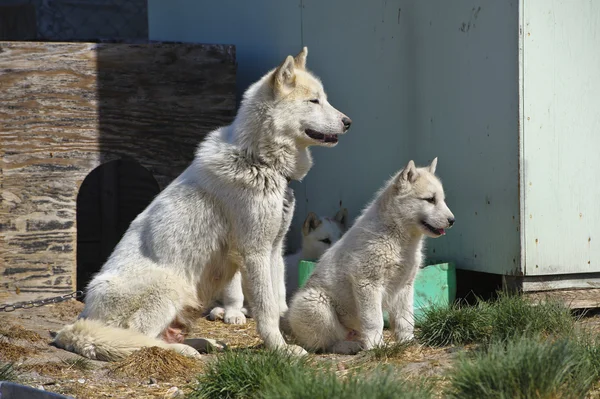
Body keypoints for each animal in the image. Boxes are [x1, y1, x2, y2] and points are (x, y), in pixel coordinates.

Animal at [288, 158, 452, 354]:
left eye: (442, 200)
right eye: (430, 200)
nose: (452, 221)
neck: (399, 238)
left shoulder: (404, 286)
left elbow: (405, 319)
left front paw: (407, 341)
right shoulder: (367, 283)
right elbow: (375, 320)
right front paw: (375, 346)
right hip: (317, 305)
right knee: (326, 342)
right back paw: (350, 346)